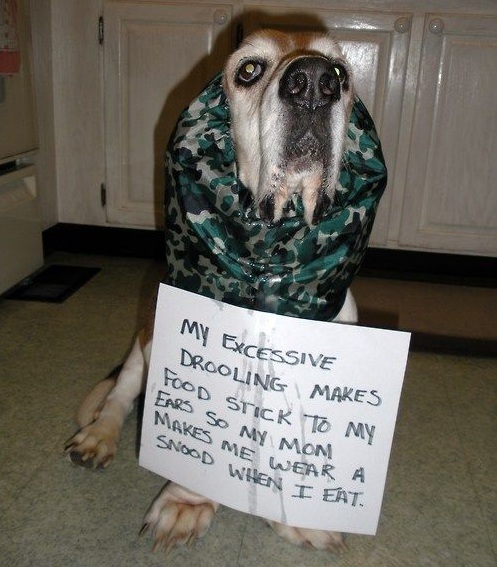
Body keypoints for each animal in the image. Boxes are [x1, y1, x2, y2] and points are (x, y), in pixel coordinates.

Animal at [67, 30, 360, 556]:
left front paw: (302, 514)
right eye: (248, 70)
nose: (313, 83)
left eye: (342, 75)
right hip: (145, 339)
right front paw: (186, 501)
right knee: (120, 395)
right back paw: (97, 438)